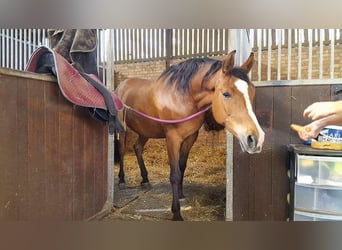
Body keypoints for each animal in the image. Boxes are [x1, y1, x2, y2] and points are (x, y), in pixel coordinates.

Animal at [115, 49, 264, 221]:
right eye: (226, 94)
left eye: (252, 92)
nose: (256, 139)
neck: (183, 98)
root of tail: (121, 86)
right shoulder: (172, 139)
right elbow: (174, 174)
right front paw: (176, 213)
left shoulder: (190, 137)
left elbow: (182, 167)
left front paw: (181, 196)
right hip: (122, 129)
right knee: (121, 150)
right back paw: (121, 180)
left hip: (145, 130)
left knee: (137, 147)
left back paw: (145, 179)